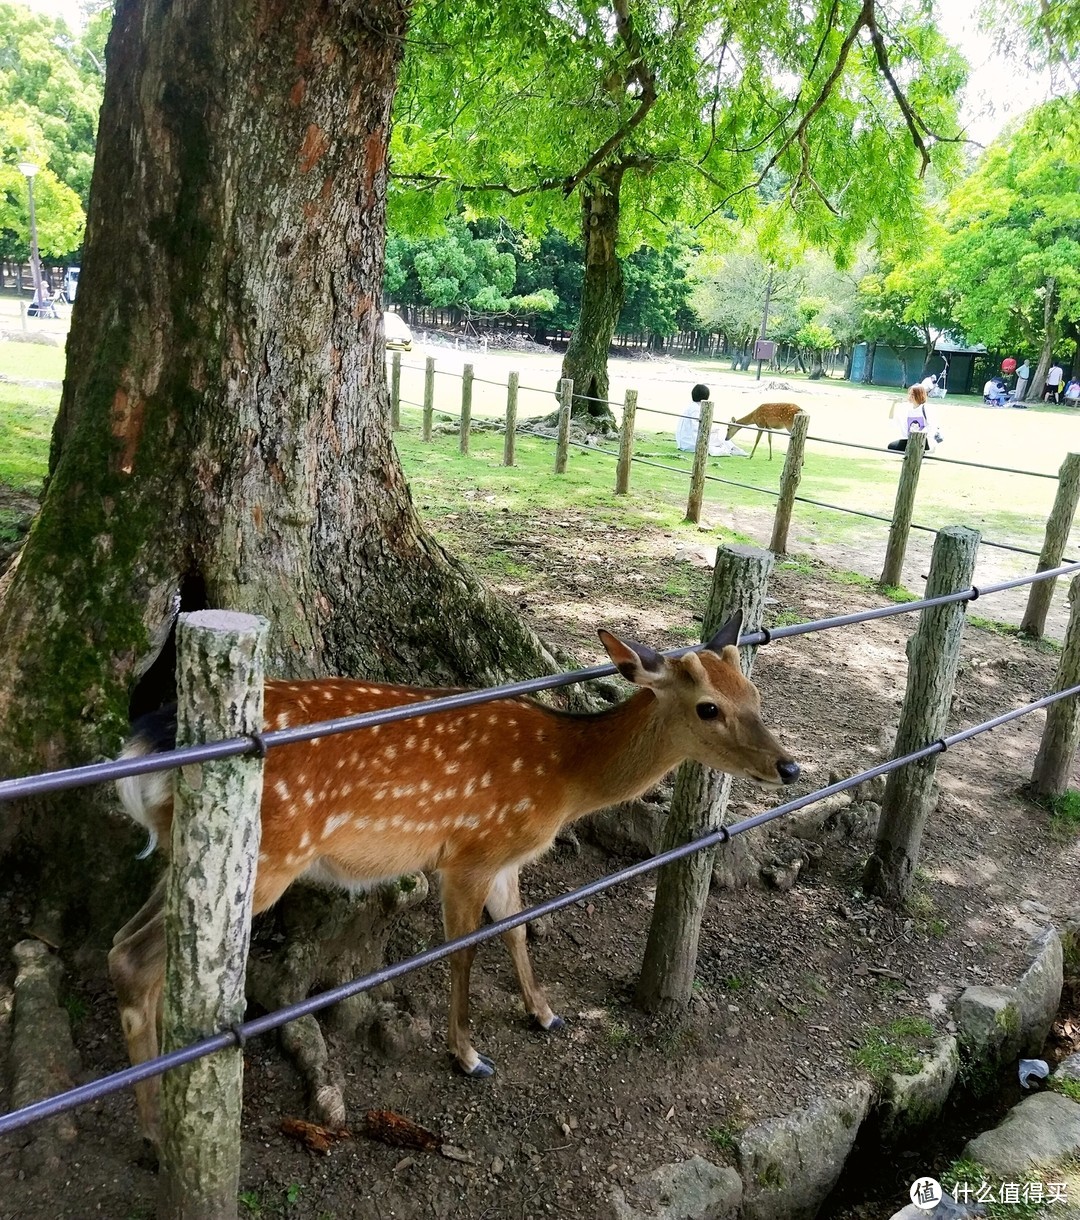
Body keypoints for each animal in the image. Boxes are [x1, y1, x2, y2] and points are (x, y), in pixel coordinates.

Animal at [111, 614, 800, 1146]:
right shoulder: (468, 852)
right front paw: (467, 1055)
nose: (789, 766)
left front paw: (545, 1014)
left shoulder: (506, 857)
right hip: (267, 857)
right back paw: (154, 1132)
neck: (564, 779)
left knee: (122, 948)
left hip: (188, 852)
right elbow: (463, 951)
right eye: (709, 708)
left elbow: (517, 930)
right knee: (139, 960)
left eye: (756, 694)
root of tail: (144, 750)